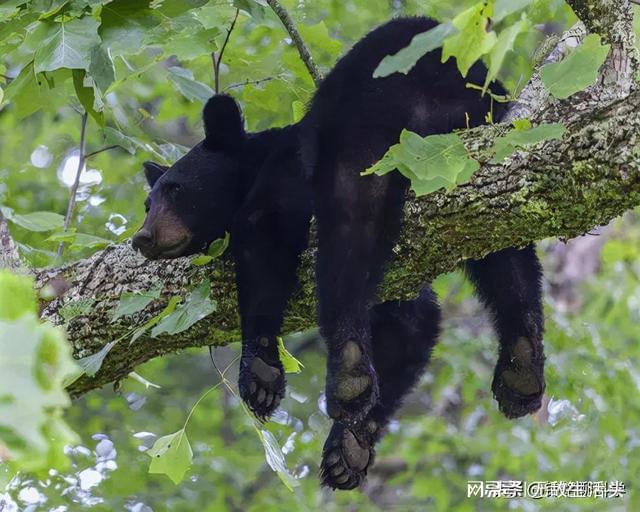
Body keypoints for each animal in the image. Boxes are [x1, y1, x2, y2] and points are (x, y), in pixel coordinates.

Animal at [131, 15, 544, 488]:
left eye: (177, 191)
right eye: (147, 203)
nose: (142, 237)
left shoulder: (285, 172)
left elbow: (263, 232)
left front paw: (260, 371)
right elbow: (413, 320)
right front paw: (349, 448)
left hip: (365, 127)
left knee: (350, 224)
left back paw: (346, 371)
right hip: (476, 138)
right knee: (504, 243)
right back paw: (521, 365)